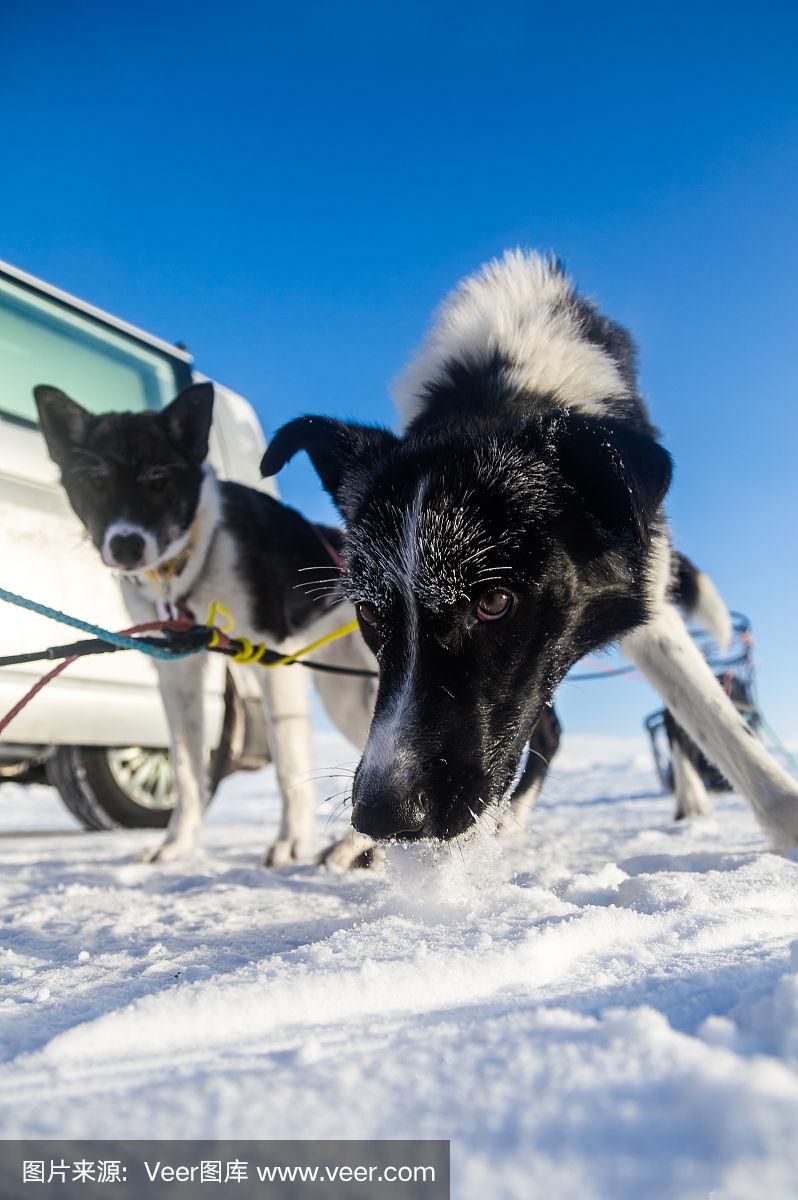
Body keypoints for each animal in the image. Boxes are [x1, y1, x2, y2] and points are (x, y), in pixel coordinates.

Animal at [34, 381, 376, 864]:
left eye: (159, 480)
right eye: (95, 482)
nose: (126, 545)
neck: (192, 562)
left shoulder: (275, 662)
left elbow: (289, 767)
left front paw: (291, 843)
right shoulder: (179, 672)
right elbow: (186, 770)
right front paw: (176, 845)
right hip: (345, 695)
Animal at [261, 252, 796, 849]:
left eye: (494, 602)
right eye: (369, 614)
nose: (382, 818)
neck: (501, 379)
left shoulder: (647, 593)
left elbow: (718, 723)